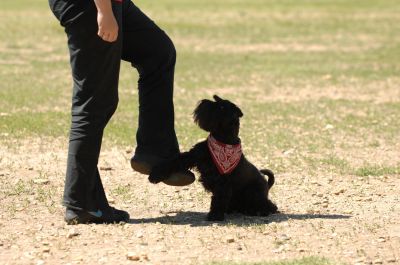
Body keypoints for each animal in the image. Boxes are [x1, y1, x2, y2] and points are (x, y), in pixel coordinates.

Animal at [148, 95, 276, 221]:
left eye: (222, 107)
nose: (204, 101)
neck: (223, 139)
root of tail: (266, 184)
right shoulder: (192, 156)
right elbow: (174, 162)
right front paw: (155, 174)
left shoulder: (223, 182)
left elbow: (219, 198)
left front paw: (215, 215)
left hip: (253, 193)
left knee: (269, 205)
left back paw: (258, 211)